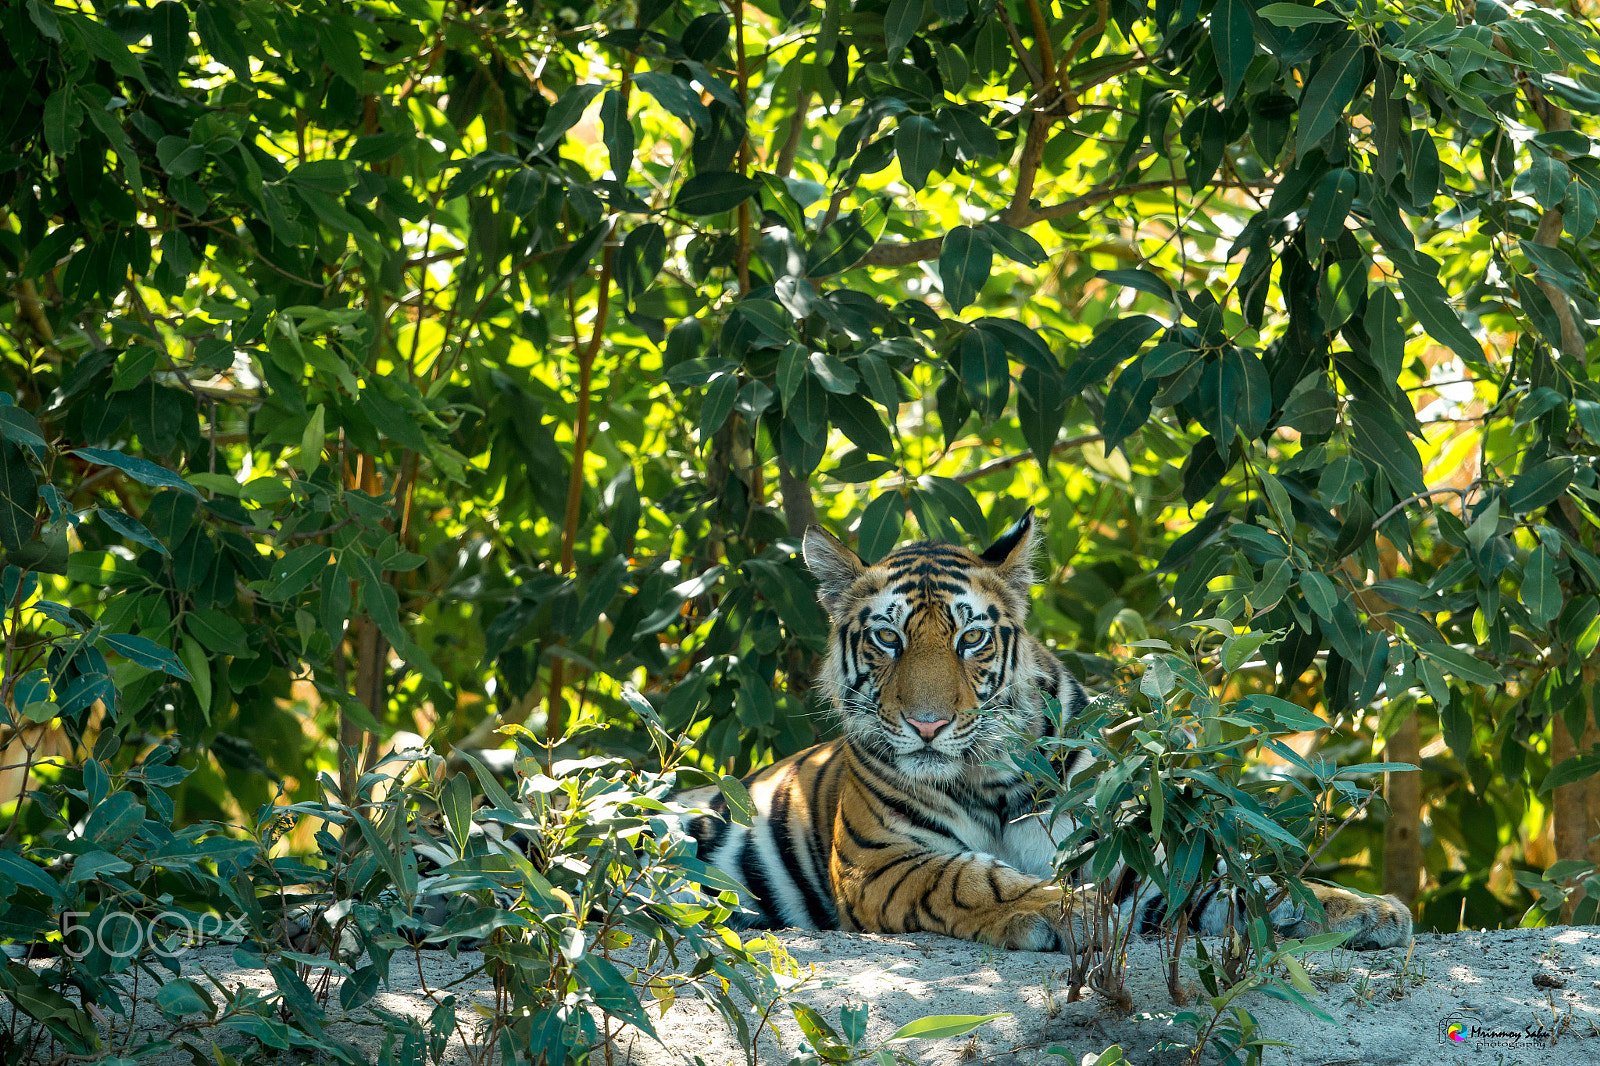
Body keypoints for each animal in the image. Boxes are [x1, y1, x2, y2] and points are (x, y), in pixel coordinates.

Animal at [676, 508, 1413, 953]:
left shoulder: (1124, 852)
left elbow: (1238, 883)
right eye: (887, 639)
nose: (926, 723)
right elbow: (977, 879)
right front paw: (1069, 912)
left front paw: (1363, 909)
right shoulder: (883, 861)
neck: (989, 773)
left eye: (971, 639)